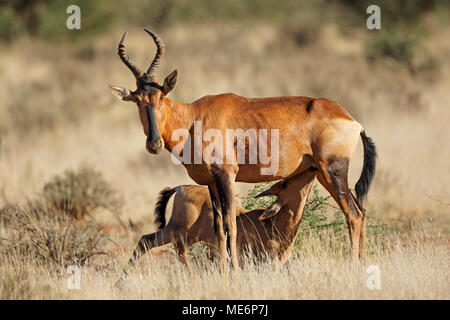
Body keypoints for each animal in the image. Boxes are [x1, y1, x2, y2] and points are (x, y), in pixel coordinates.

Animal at [109, 30, 376, 266]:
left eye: (160, 97)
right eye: (138, 101)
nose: (154, 144)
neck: (194, 117)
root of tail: (351, 119)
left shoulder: (226, 174)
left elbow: (231, 224)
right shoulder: (211, 182)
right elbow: (219, 228)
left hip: (333, 170)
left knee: (353, 214)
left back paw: (354, 266)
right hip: (321, 172)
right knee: (361, 211)